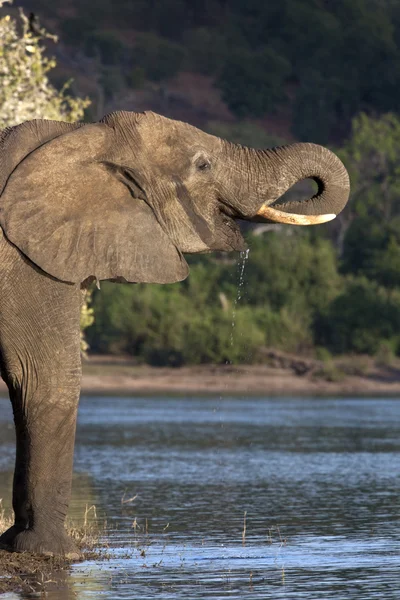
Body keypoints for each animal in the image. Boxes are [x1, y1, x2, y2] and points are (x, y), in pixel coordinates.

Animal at [0, 110, 348, 556]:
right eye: (202, 165)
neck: (78, 136)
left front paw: (15, 542)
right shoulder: (25, 264)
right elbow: (48, 378)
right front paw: (51, 552)